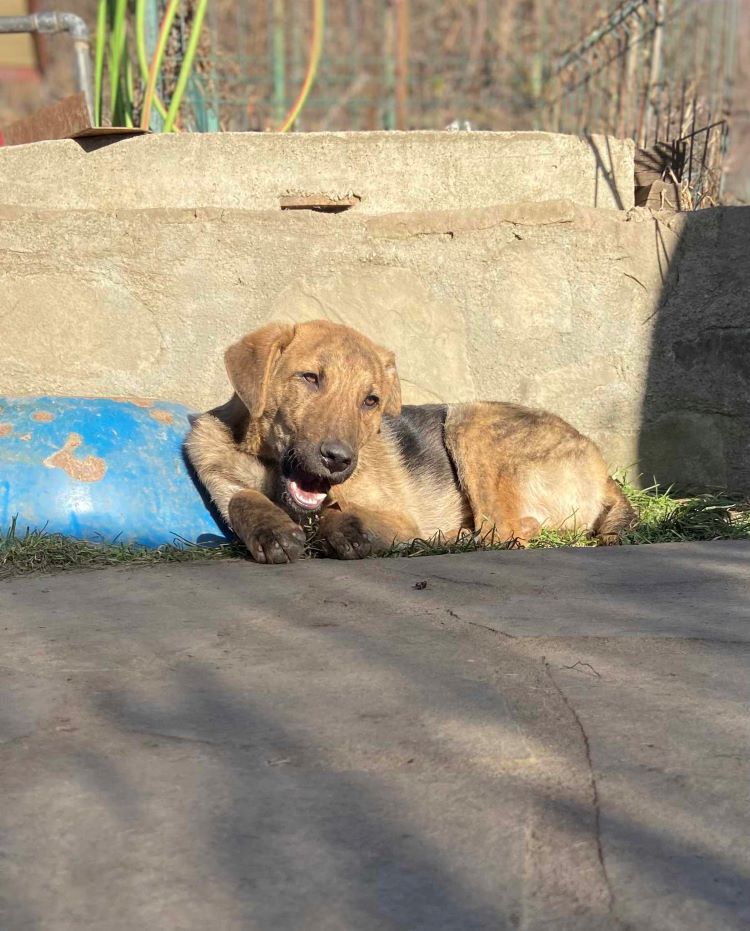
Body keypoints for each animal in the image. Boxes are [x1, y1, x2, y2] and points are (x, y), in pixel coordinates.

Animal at [187, 322, 636, 560]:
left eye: (370, 400)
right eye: (309, 378)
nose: (339, 459)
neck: (266, 466)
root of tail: (603, 471)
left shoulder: (396, 518)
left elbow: (343, 520)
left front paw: (346, 528)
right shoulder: (222, 476)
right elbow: (242, 500)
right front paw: (270, 529)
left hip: (469, 420)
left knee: (509, 530)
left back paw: (449, 539)